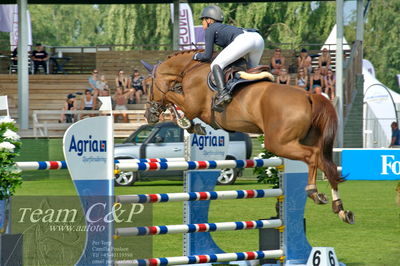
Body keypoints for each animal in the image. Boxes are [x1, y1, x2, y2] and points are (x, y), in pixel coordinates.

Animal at [143, 50, 354, 224]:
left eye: (148, 85)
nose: (148, 115)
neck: (190, 69)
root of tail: (309, 96)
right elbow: (173, 98)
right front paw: (190, 124)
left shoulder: (192, 104)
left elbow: (171, 96)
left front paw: (186, 122)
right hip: (300, 140)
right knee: (325, 163)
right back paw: (341, 209)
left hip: (279, 143)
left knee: (312, 156)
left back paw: (314, 192)